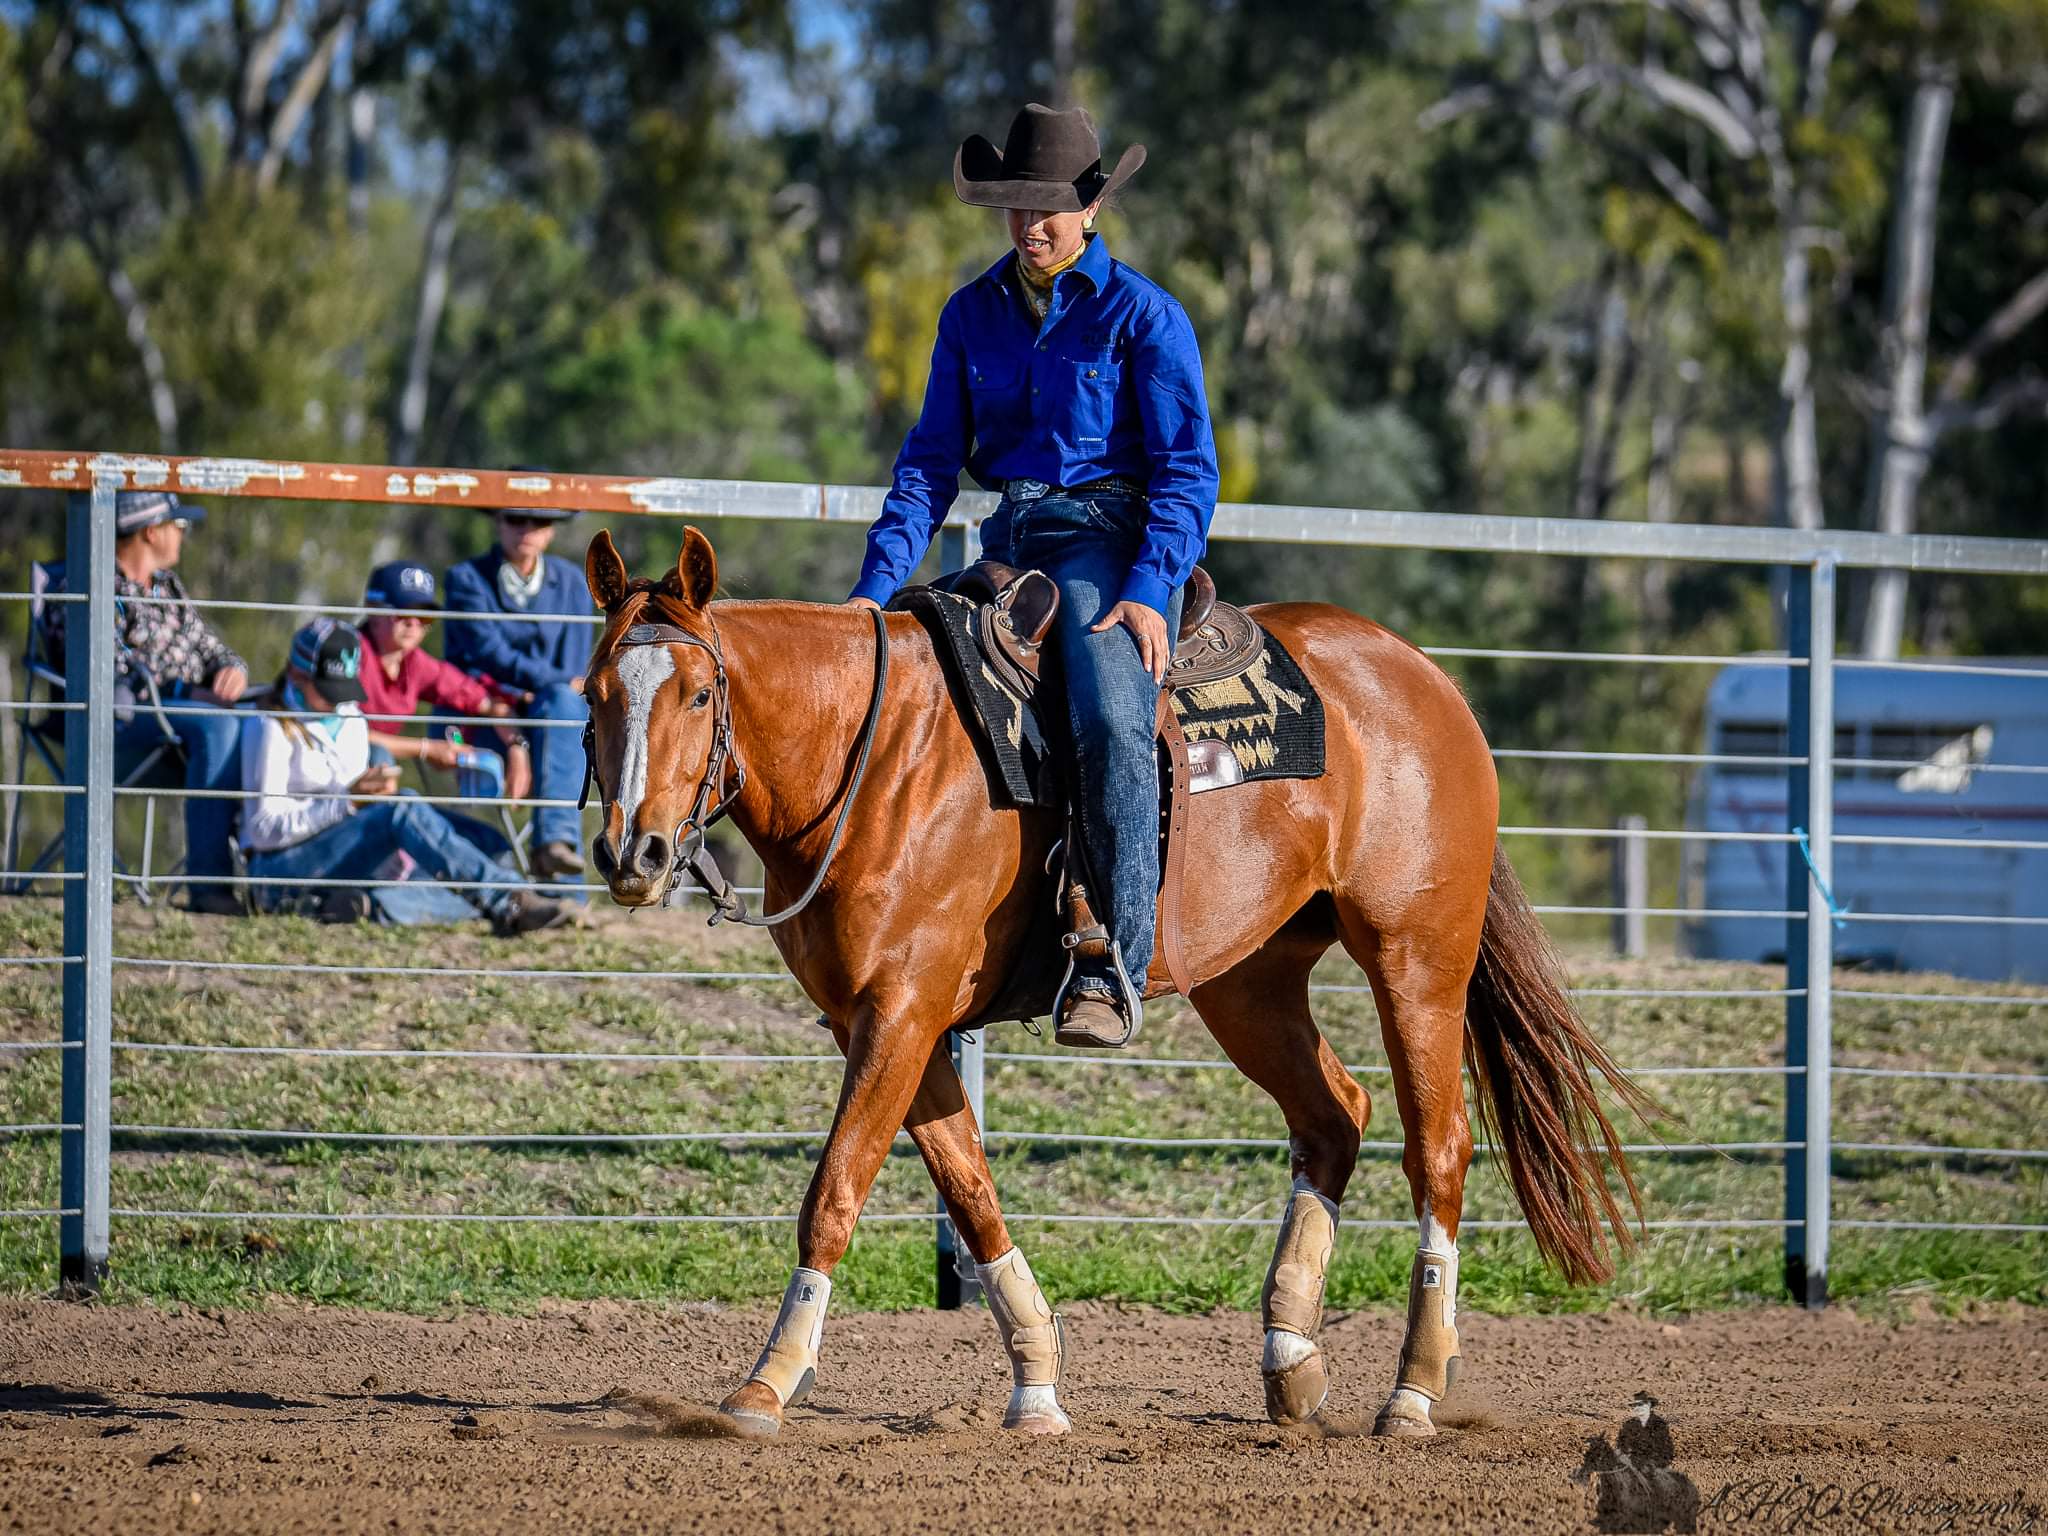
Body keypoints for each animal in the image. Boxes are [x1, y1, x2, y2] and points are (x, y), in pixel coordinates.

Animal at [579, 525, 1651, 1439]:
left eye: (699, 696)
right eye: (594, 693)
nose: (634, 852)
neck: (876, 759)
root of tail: (1425, 678)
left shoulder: (901, 1012)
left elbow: (834, 1192)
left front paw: (765, 1385)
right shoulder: (883, 1023)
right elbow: (970, 1191)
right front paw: (1038, 1386)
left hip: (1416, 958)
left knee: (1438, 1149)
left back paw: (1413, 1394)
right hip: (1249, 983)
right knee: (1333, 1116)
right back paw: (1291, 1363)